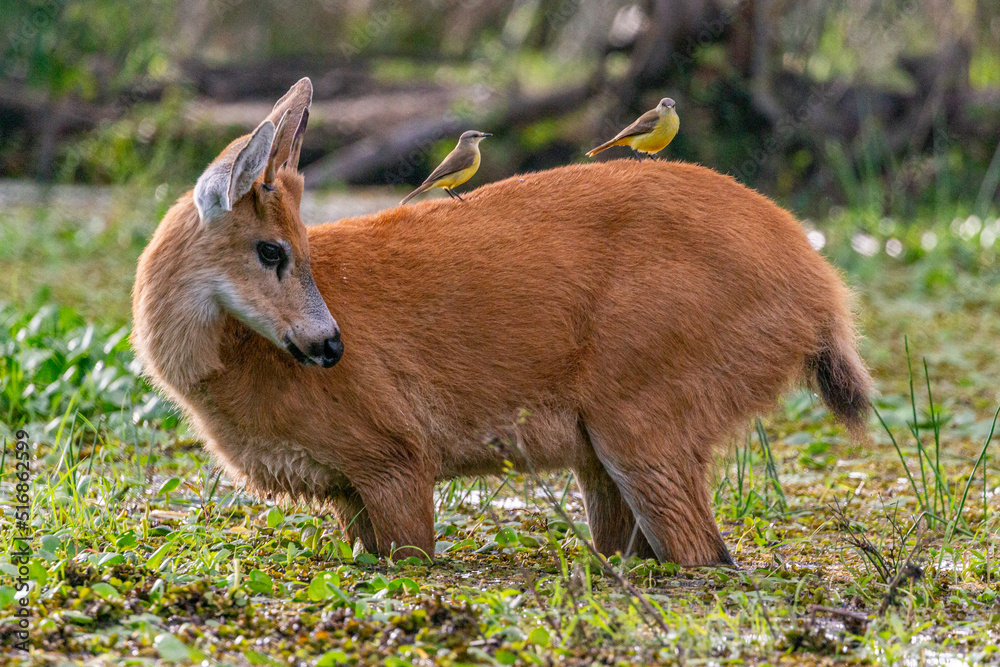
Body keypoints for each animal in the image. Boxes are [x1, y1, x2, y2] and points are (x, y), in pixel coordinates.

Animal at [132, 78, 872, 567]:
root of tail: (822, 292)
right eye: (271, 248)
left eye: (296, 248)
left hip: (643, 413)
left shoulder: (395, 455)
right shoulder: (348, 492)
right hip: (607, 450)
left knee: (706, 556)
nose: (332, 344)